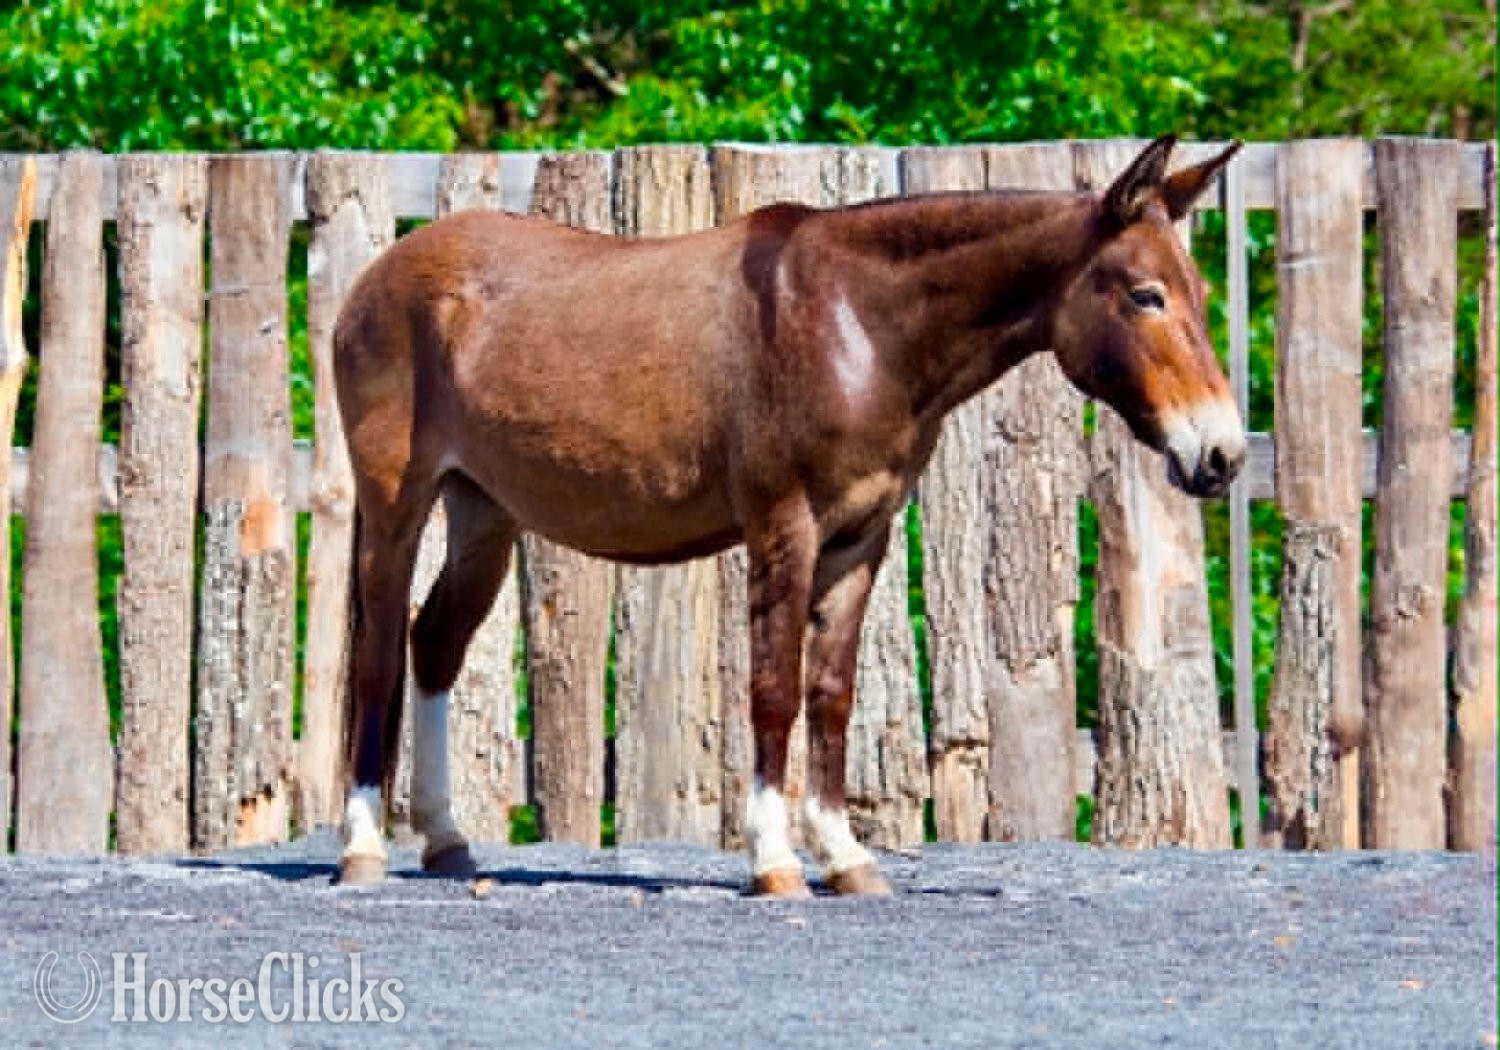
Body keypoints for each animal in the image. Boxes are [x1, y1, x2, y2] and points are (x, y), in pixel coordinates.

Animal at [332, 133, 1246, 896]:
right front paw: (774, 860)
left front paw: (845, 857)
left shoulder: (860, 538)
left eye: (1199, 292)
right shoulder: (785, 527)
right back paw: (364, 849)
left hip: (483, 513)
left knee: (435, 645)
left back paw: (446, 843)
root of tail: (374, 280)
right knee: (379, 656)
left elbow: (831, 694)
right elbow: (774, 690)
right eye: (1146, 295)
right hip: (396, 504)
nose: (1222, 454)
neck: (857, 323)